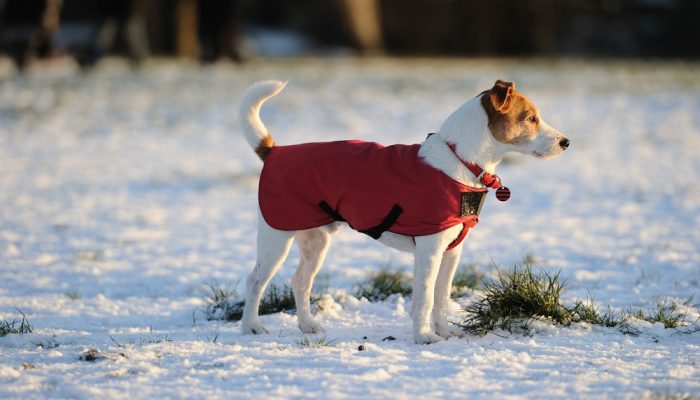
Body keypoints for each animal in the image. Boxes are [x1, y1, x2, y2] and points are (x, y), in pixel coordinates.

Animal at [238, 79, 568, 344]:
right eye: (531, 118)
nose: (566, 141)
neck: (460, 162)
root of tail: (274, 152)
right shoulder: (429, 250)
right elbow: (424, 298)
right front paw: (424, 336)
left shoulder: (452, 252)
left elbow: (442, 297)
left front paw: (445, 331)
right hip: (276, 239)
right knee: (254, 282)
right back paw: (251, 327)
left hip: (316, 241)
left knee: (300, 281)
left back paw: (307, 325)